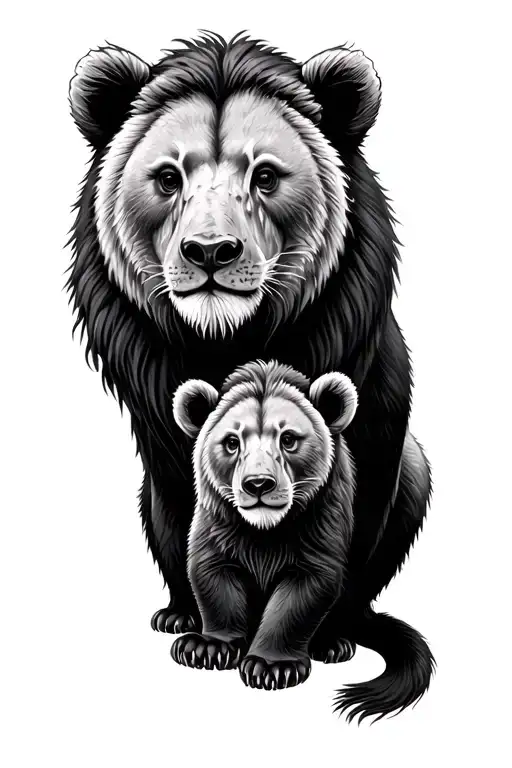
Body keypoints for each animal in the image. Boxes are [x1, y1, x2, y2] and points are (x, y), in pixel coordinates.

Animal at [170, 360, 358, 691]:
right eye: (232, 442)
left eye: (288, 438)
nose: (258, 484)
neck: (264, 532)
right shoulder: (217, 528)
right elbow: (215, 583)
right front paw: (206, 647)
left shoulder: (319, 533)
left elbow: (295, 603)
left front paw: (271, 666)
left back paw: (333, 644)